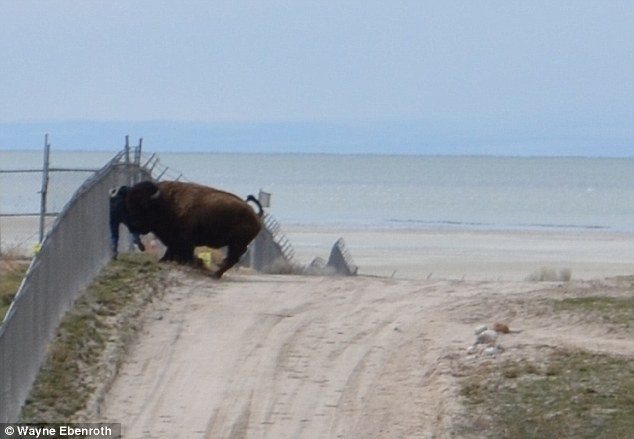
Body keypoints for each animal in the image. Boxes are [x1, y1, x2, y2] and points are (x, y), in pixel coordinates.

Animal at [124, 181, 262, 278]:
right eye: (129, 204)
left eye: (144, 205)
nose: (134, 225)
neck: (165, 202)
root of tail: (255, 215)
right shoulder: (173, 239)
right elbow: (170, 251)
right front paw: (163, 260)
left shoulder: (185, 239)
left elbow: (184, 253)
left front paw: (190, 263)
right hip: (238, 244)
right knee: (233, 259)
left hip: (237, 243)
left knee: (232, 259)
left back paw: (214, 274)